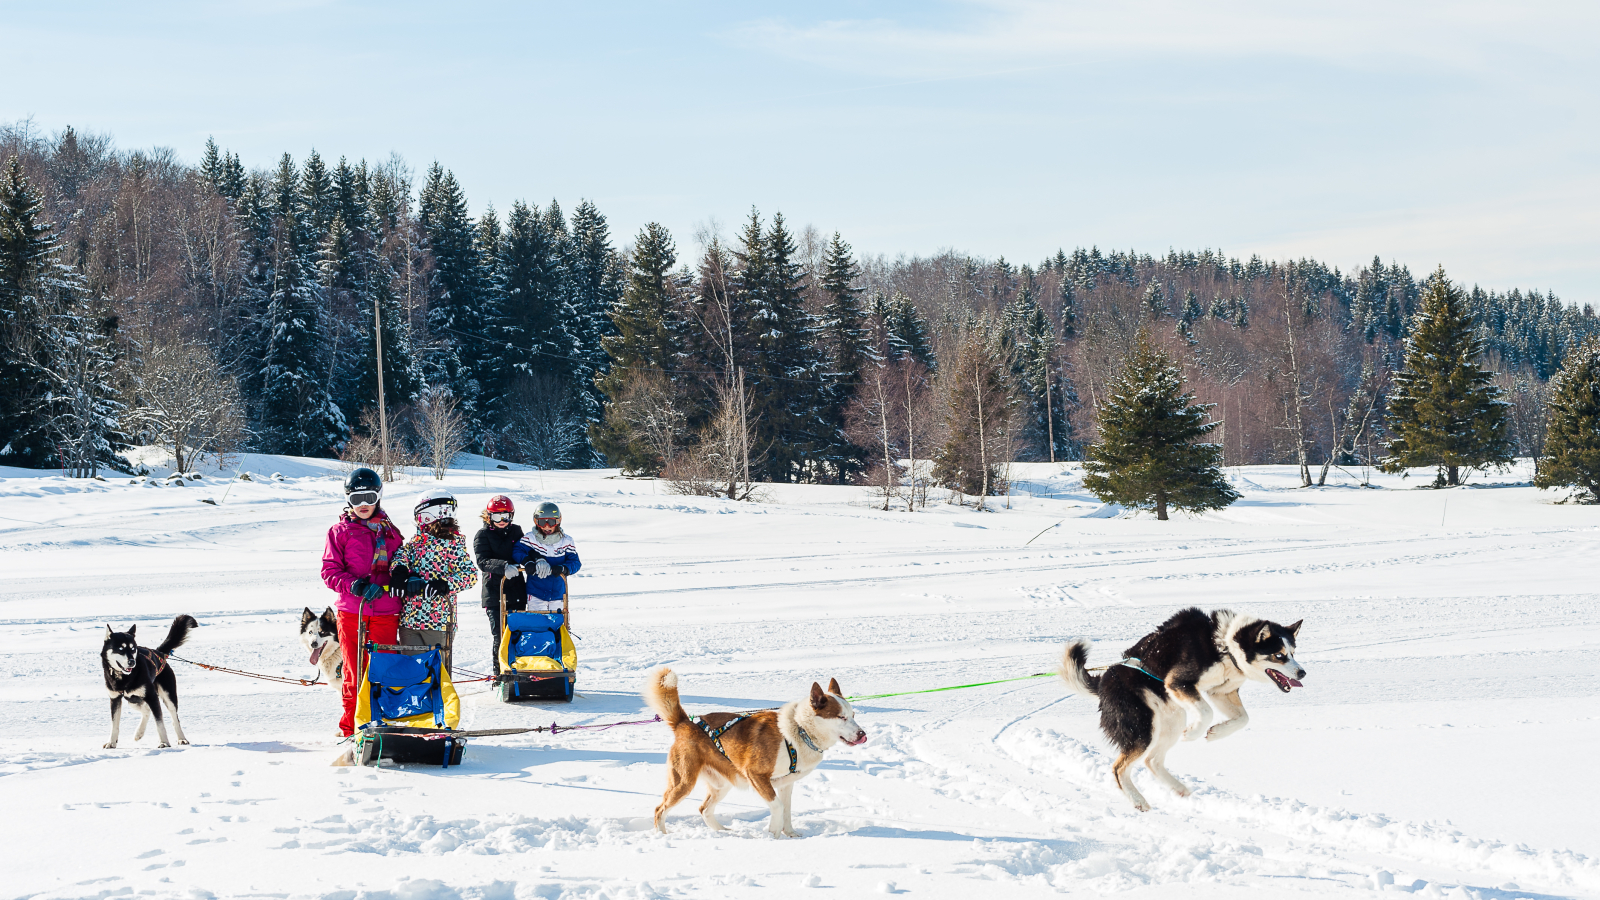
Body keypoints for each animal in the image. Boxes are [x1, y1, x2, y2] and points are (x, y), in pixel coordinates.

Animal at [103, 611, 198, 746]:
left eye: (133, 649)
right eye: (120, 649)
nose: (132, 662)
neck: (124, 678)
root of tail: (159, 653)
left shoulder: (152, 696)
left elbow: (159, 723)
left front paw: (164, 742)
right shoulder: (115, 699)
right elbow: (114, 724)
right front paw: (111, 742)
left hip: (167, 695)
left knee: (174, 718)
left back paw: (181, 738)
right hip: (132, 699)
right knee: (146, 709)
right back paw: (139, 733)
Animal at [640, 662, 870, 839]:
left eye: (853, 715)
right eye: (841, 717)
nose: (862, 734)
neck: (798, 731)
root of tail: (685, 723)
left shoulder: (786, 784)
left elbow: (787, 810)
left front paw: (790, 833)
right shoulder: (756, 775)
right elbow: (777, 806)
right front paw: (772, 833)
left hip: (722, 784)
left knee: (704, 809)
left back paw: (723, 832)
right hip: (684, 782)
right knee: (659, 810)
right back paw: (662, 836)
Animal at [1062, 605, 1299, 810]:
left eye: (1293, 653)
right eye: (1279, 655)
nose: (1302, 673)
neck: (1224, 644)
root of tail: (1103, 681)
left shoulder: (1220, 692)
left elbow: (1243, 718)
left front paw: (1216, 732)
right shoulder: (1179, 683)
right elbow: (1207, 712)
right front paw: (1194, 733)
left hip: (1171, 721)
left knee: (1151, 760)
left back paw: (1179, 788)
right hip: (1143, 728)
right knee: (1119, 768)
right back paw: (1138, 800)